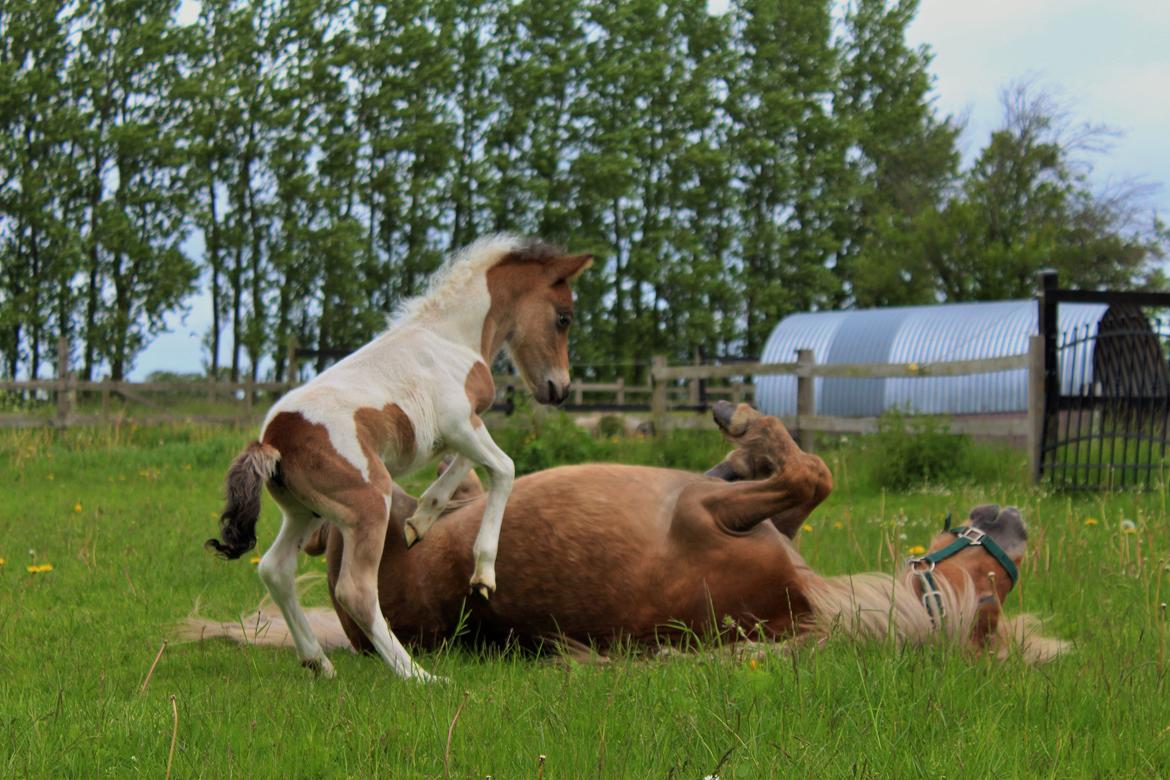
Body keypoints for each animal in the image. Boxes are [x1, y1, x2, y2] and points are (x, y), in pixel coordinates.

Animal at [194, 402, 1071, 664]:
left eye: (991, 587)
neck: (802, 604)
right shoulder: (746, 511)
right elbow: (802, 477)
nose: (1013, 522)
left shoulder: (703, 514)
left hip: (371, 515)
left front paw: (743, 422)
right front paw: (742, 441)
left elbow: (813, 471)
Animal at [203, 235, 594, 678]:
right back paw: (418, 675)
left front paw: (419, 522)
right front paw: (482, 575)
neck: (451, 338)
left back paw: (319, 662)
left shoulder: (463, 428)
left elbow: (466, 466)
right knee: (355, 590)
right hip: (369, 505)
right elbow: (505, 469)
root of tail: (273, 442)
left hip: (306, 512)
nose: (559, 389)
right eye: (564, 318)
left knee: (275, 568)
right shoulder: (461, 423)